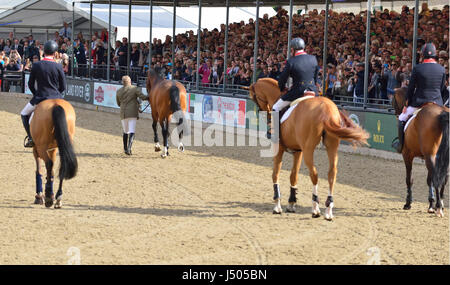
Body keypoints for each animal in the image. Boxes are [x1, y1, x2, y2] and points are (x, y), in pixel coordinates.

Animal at [246, 77, 370, 220]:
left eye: (254, 97)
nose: (265, 113)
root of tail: (326, 109)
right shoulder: (297, 152)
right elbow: (293, 176)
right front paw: (291, 204)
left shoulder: (280, 148)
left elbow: (275, 174)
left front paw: (277, 206)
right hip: (331, 146)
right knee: (332, 173)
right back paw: (328, 210)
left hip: (308, 150)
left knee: (314, 174)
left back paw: (315, 208)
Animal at [392, 87, 448, 216]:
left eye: (393, 101)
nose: (397, 114)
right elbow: (429, 180)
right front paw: (431, 204)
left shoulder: (407, 155)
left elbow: (409, 179)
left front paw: (408, 203)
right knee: (444, 178)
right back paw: (440, 205)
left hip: (430, 156)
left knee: (438, 178)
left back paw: (439, 207)